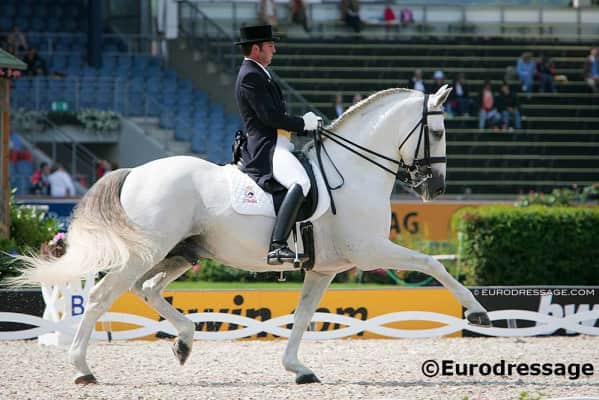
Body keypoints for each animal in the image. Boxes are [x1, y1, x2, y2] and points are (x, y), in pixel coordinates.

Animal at [13, 85, 490, 385]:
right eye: (438, 131)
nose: (436, 189)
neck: (353, 171)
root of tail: (133, 172)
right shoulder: (371, 250)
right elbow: (432, 264)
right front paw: (477, 312)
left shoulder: (324, 269)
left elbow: (303, 316)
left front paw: (297, 368)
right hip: (146, 253)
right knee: (100, 296)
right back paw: (82, 369)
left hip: (179, 253)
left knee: (145, 289)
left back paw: (184, 341)